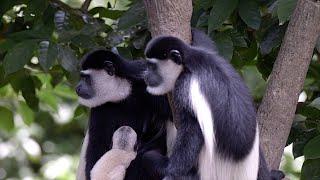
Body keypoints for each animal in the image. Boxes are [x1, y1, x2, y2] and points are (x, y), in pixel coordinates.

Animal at [75, 48, 171, 180]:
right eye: (82, 77)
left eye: (86, 78)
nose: (77, 88)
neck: (123, 91)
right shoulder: (100, 110)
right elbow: (96, 149)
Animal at [142, 29, 284, 180]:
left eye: (152, 66)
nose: (145, 75)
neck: (191, 62)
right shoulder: (211, 56)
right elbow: (208, 44)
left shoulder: (185, 86)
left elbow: (192, 131)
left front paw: (171, 171)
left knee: (149, 158)